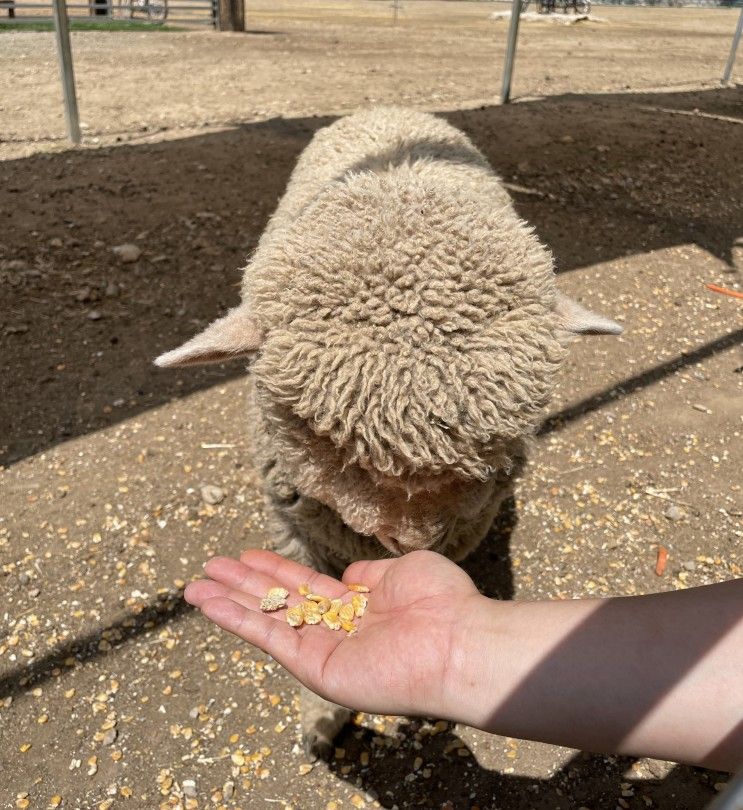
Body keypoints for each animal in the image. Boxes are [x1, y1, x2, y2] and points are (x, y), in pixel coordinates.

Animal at [157, 104, 620, 756]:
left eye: (492, 448)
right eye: (324, 439)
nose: (414, 542)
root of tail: (390, 111)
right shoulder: (290, 518)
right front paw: (320, 718)